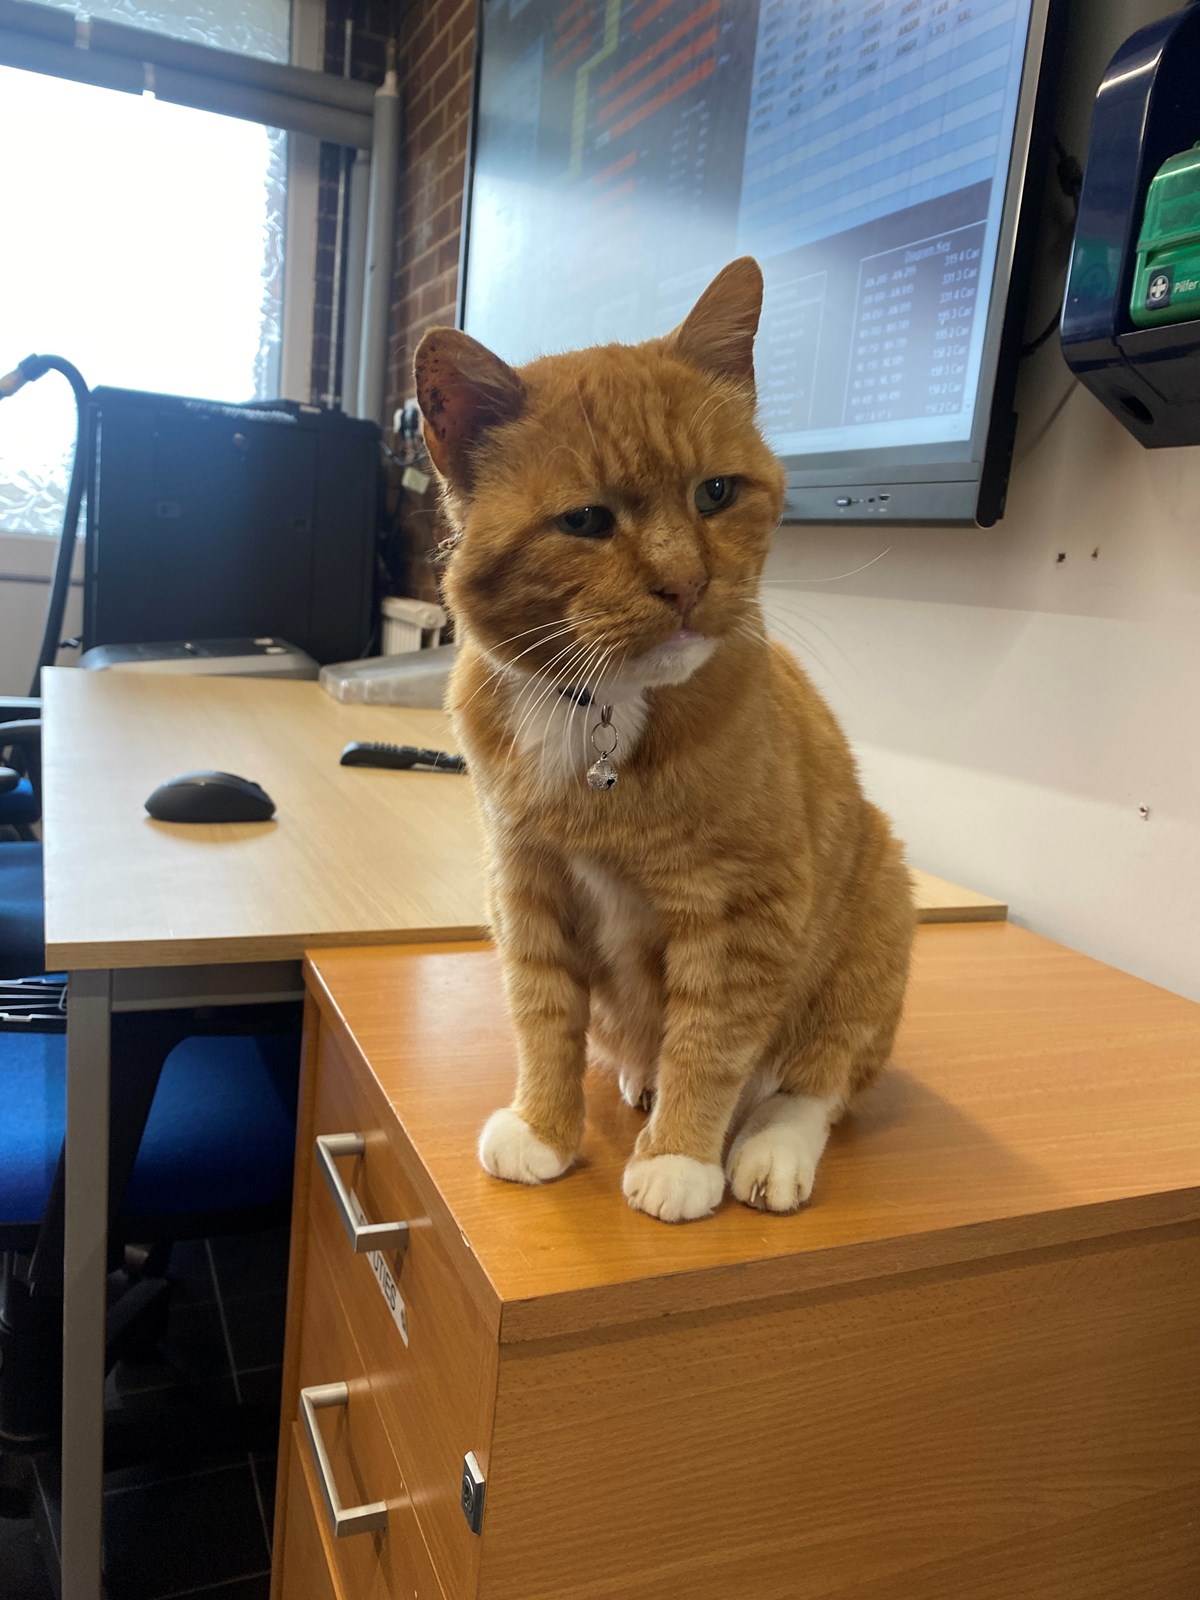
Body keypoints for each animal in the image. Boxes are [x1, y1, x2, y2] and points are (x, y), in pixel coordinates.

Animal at [419, 256, 915, 1216]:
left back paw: (766, 1147)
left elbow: (712, 1041)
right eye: (585, 521)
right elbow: (543, 1019)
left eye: (715, 492)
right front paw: (544, 1128)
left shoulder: (744, 911)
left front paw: (680, 1159)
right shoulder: (526, 886)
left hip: (877, 917)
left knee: (814, 1082)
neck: (602, 714)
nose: (687, 584)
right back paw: (639, 1080)